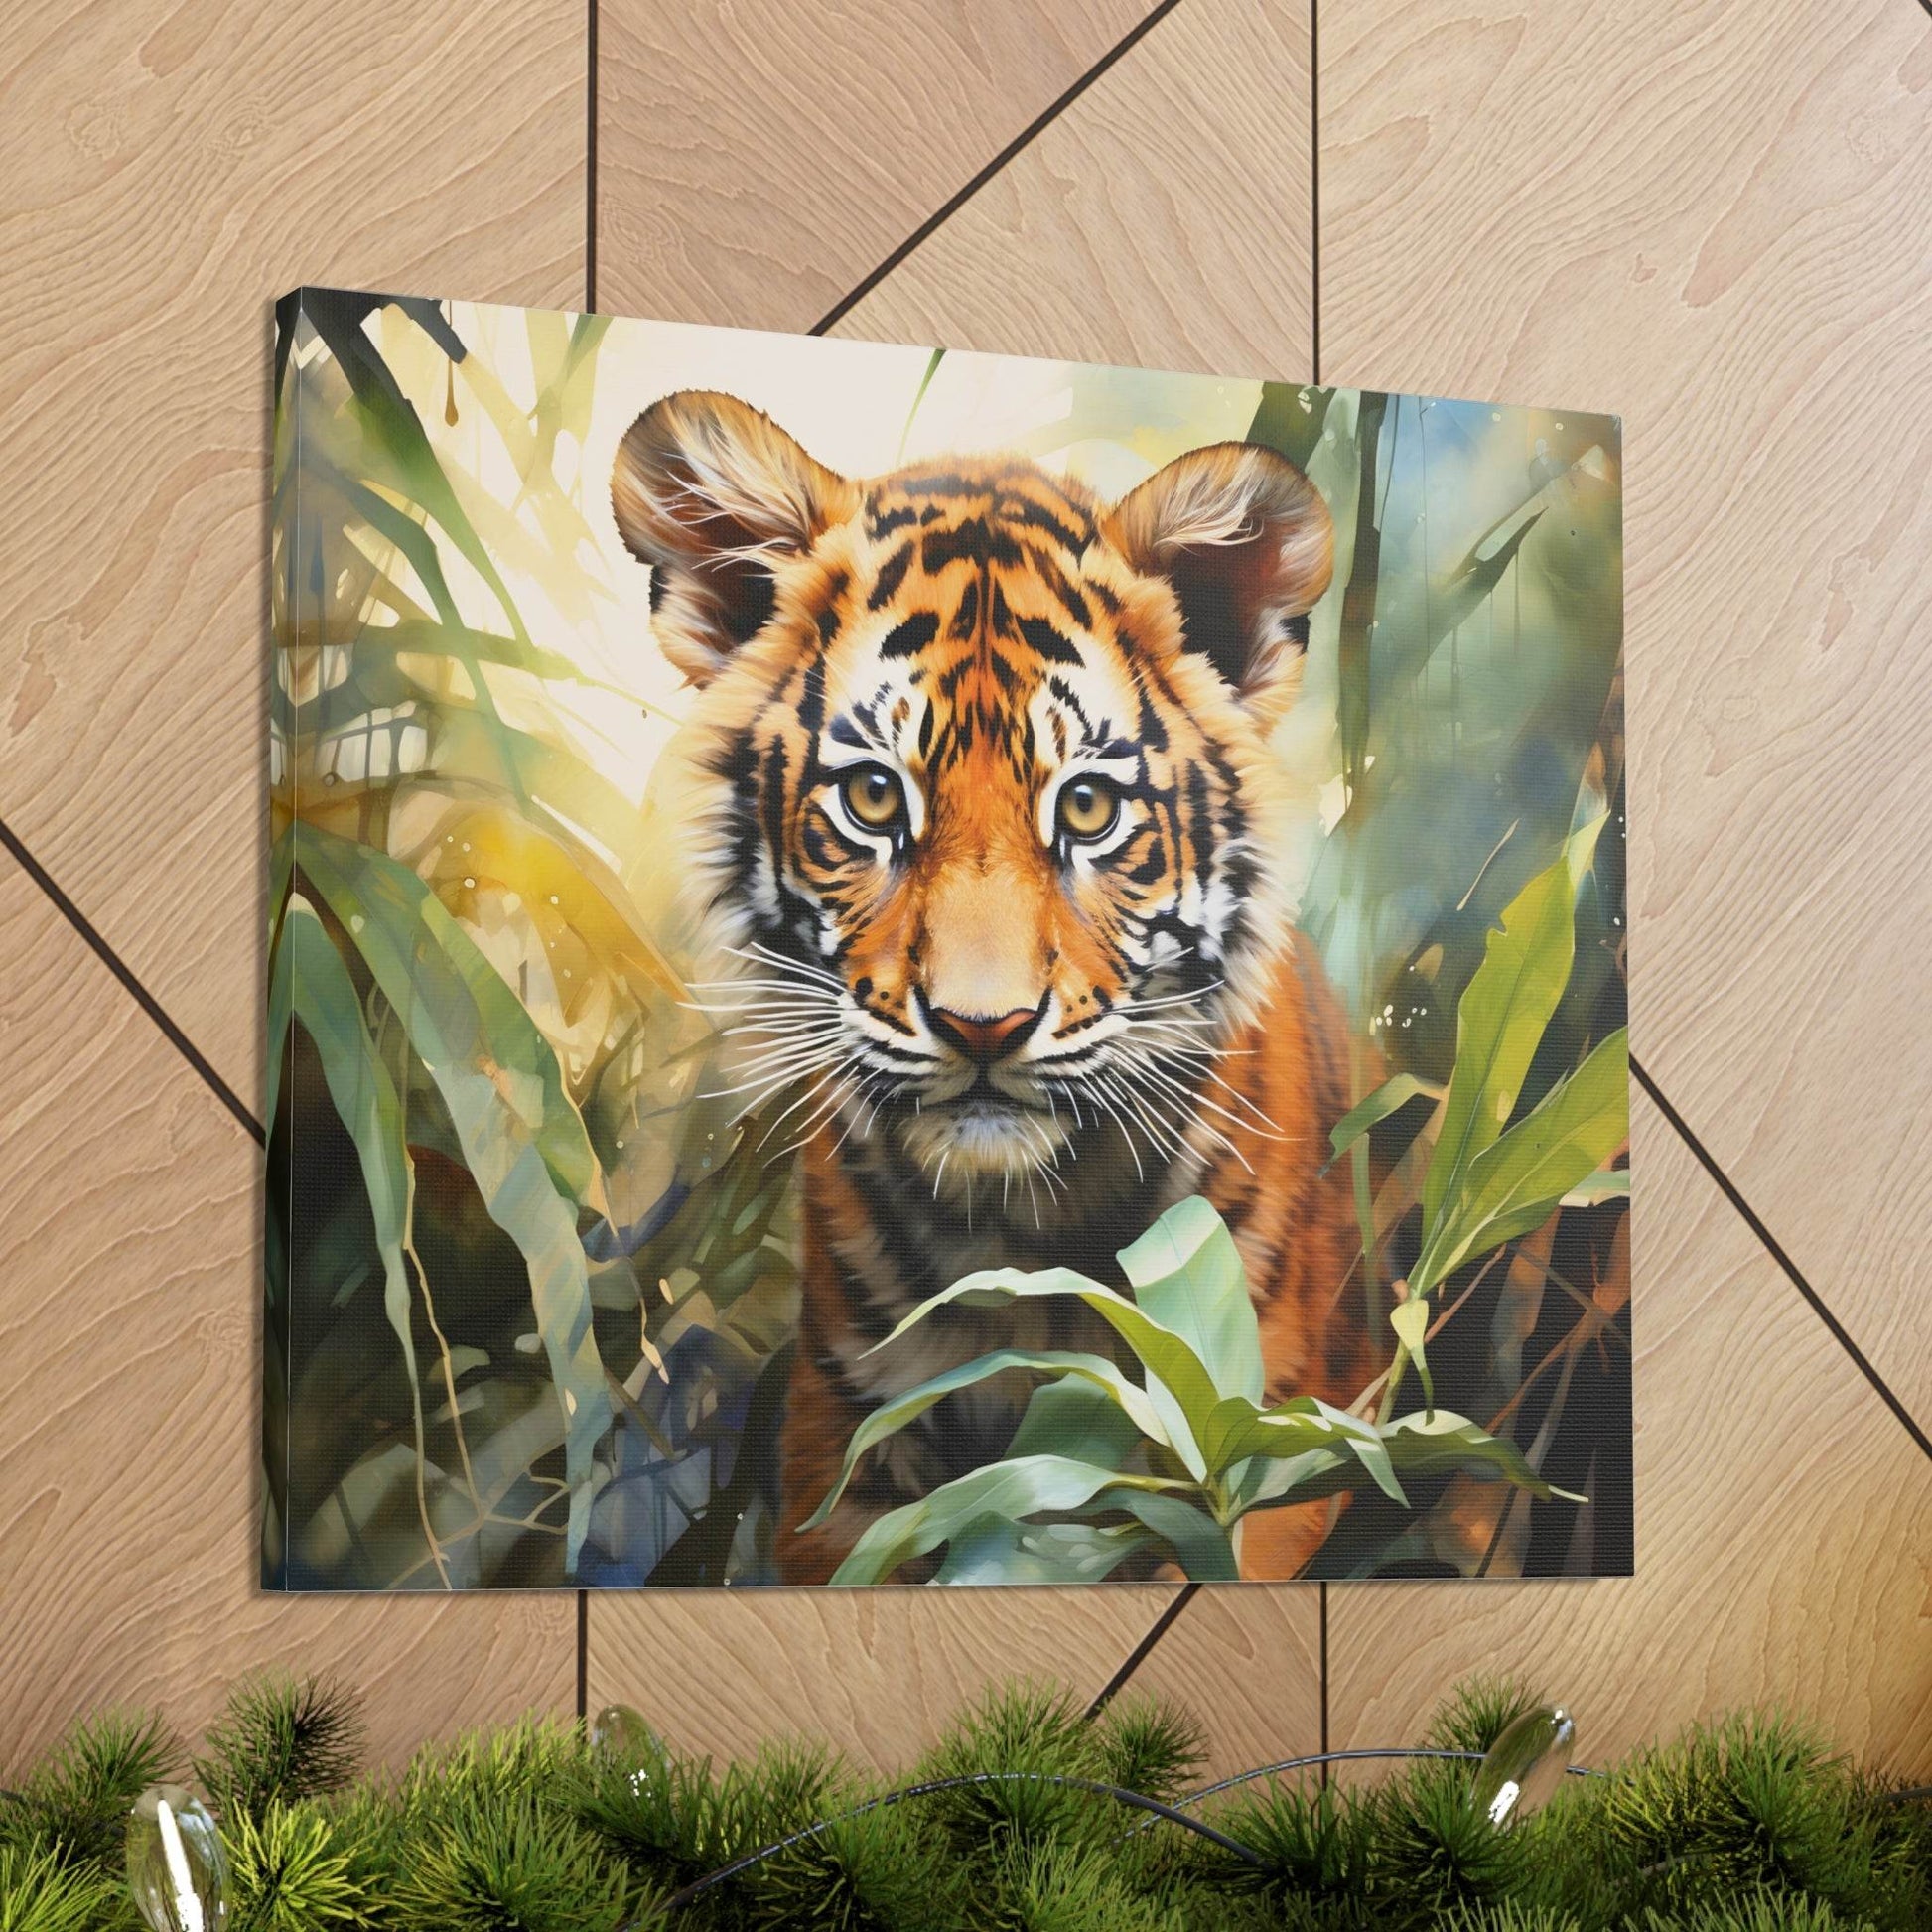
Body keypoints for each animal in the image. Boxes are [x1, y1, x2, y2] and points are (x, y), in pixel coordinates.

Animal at [611, 388, 1379, 1584]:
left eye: (1087, 807)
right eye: (875, 798)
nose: (985, 1027)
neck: (1024, 1237)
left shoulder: (1274, 1455)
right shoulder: (841, 1457)